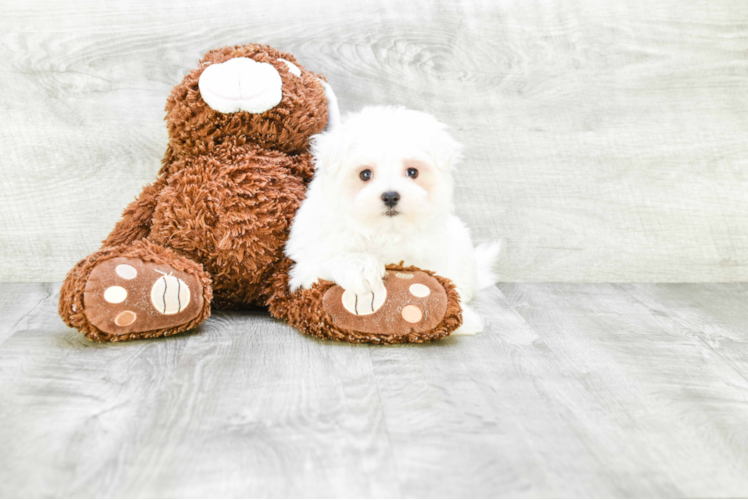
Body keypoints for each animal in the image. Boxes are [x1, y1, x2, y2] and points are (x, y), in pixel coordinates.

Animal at [284, 105, 500, 334]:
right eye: (365, 174)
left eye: (412, 172)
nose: (390, 196)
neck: (385, 231)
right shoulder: (309, 260)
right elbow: (333, 258)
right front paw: (361, 269)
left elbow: (444, 282)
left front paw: (463, 319)